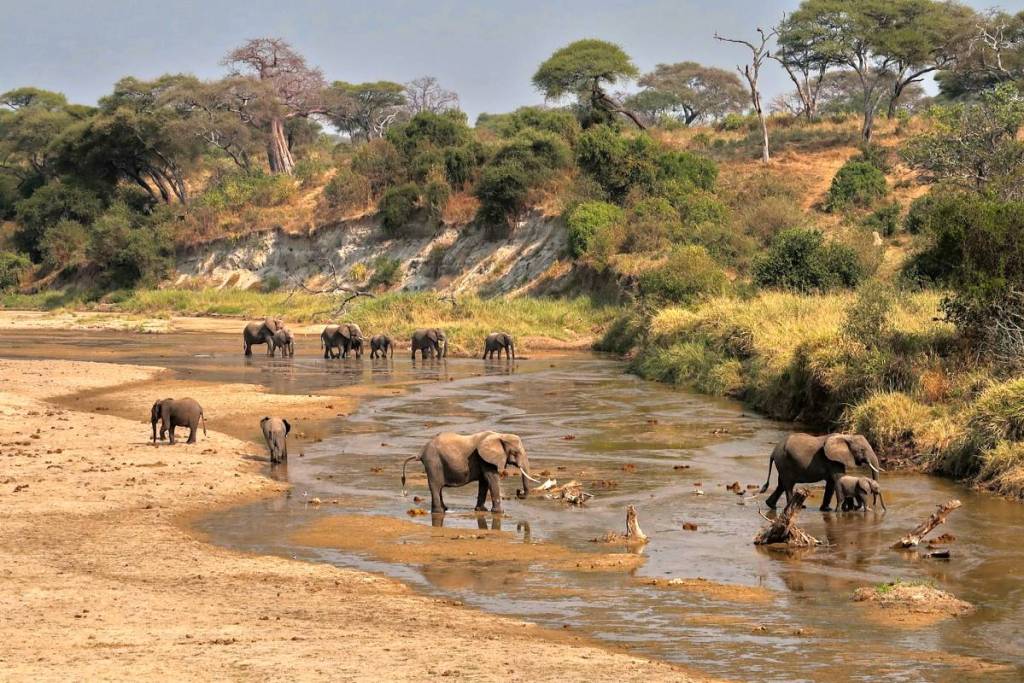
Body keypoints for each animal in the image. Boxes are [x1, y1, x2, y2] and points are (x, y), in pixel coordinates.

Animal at [401, 431, 540, 513]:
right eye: (515, 453)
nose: (519, 492)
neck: (500, 435)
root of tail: (421, 452)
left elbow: (484, 482)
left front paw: (481, 510)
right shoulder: (485, 459)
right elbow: (492, 479)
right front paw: (499, 512)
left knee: (438, 487)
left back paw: (445, 509)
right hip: (433, 462)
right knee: (435, 486)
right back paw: (439, 511)